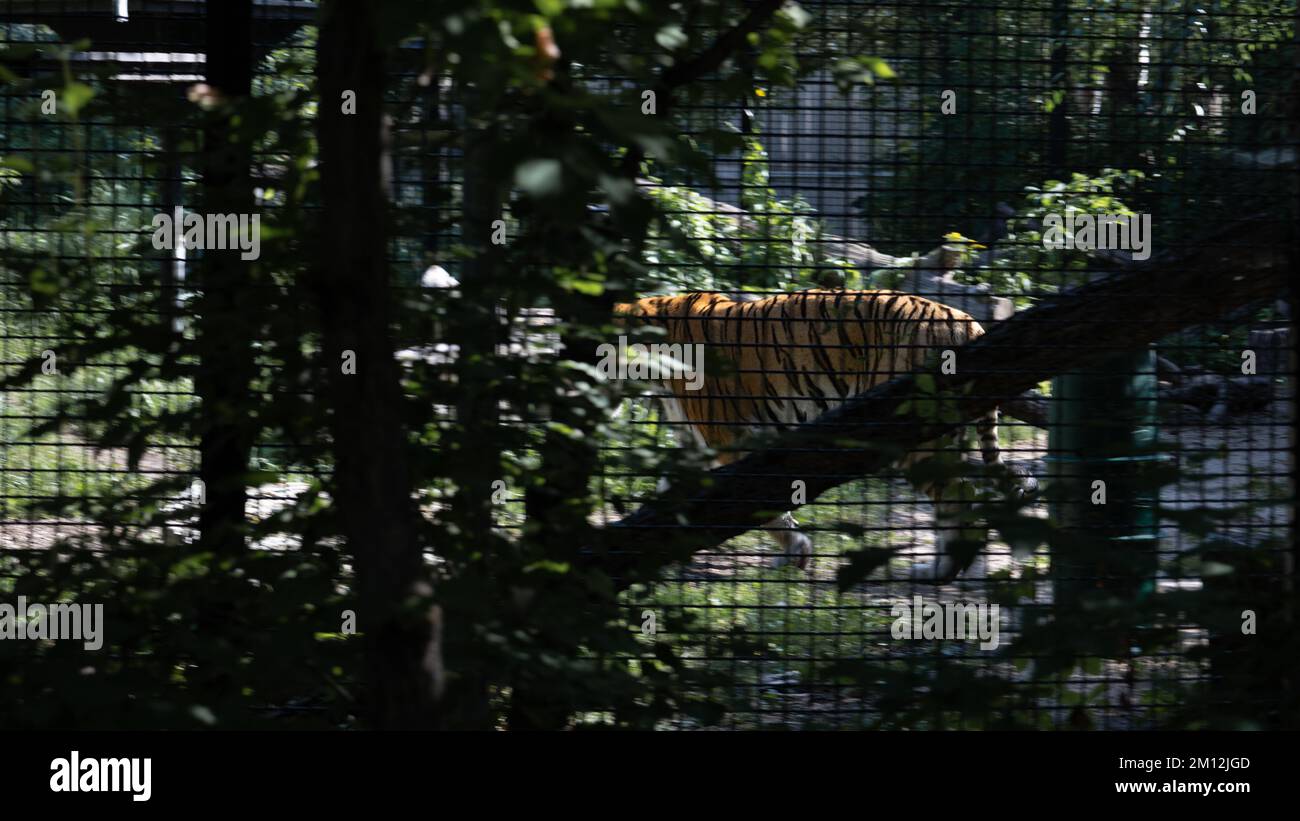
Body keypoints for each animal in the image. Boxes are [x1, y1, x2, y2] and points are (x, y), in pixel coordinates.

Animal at [613, 292, 1019, 579]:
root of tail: (966, 321)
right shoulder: (697, 445)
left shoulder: (728, 441)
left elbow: (759, 506)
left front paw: (797, 548)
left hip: (914, 435)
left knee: (960, 495)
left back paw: (943, 571)